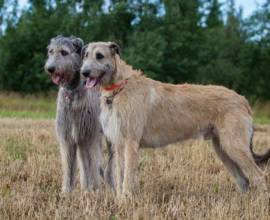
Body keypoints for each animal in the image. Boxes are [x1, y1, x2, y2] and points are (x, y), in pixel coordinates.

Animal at [44, 36, 103, 192]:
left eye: (64, 52)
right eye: (51, 51)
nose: (50, 68)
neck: (72, 94)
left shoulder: (91, 136)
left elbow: (93, 164)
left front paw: (95, 190)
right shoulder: (68, 138)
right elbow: (68, 166)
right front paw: (66, 192)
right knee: (84, 163)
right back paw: (85, 187)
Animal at [80, 41, 270, 196]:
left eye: (99, 55)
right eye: (85, 55)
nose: (84, 73)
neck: (119, 87)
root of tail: (242, 99)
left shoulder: (130, 143)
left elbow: (127, 178)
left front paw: (126, 201)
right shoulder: (119, 144)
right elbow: (120, 177)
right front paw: (120, 200)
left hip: (234, 145)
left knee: (259, 176)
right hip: (222, 148)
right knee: (243, 180)